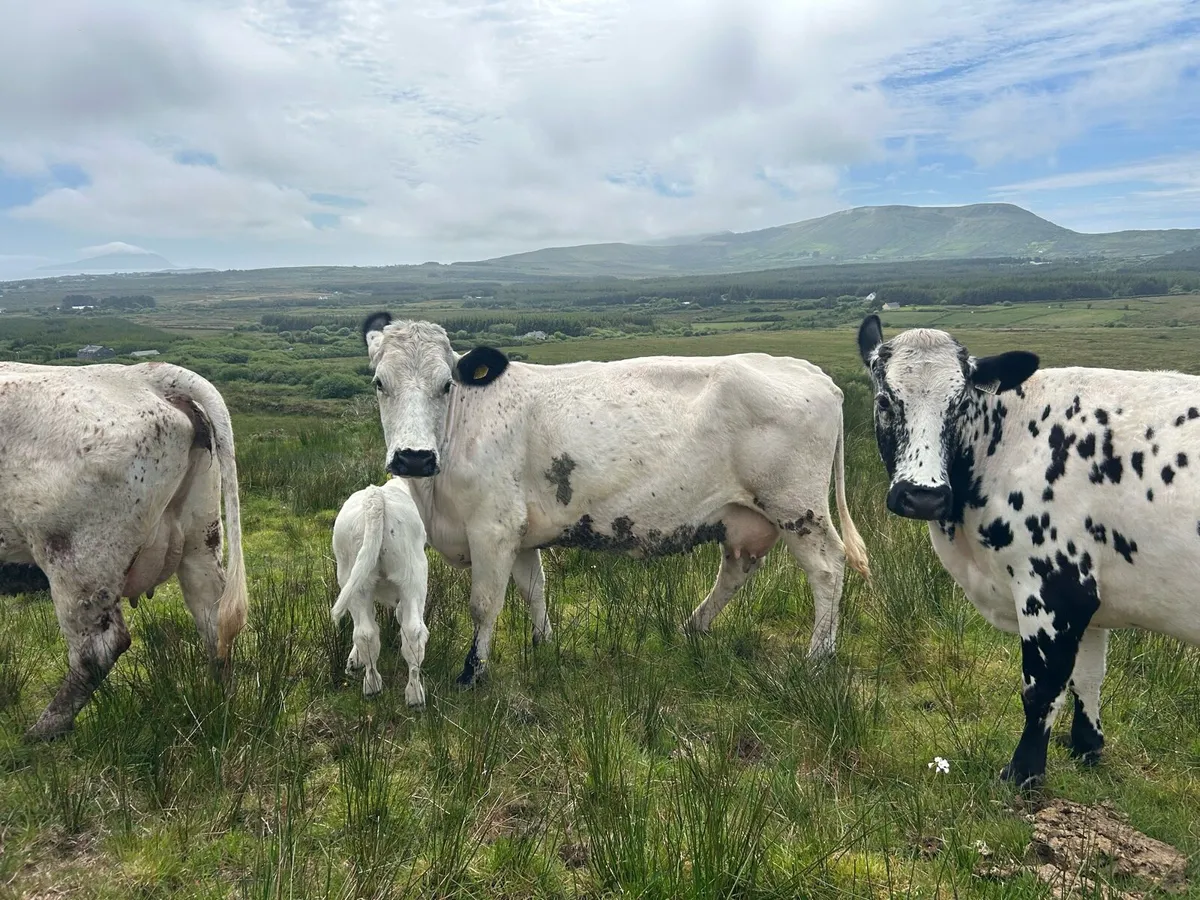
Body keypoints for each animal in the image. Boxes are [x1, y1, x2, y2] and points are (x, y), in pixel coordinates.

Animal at [0, 361, 248, 741]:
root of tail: (142, 374)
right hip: (201, 539)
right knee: (213, 619)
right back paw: (220, 703)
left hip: (77, 555)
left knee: (98, 648)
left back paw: (44, 729)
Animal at [331, 477, 430, 705]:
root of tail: (375, 498)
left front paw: (354, 660)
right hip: (414, 576)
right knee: (413, 632)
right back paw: (415, 696)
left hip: (354, 579)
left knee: (365, 632)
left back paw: (372, 686)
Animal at [362, 314, 870, 687]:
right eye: (379, 383)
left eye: (446, 384)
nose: (413, 457)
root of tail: (809, 370)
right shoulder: (521, 533)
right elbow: (534, 589)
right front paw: (544, 644)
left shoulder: (492, 527)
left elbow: (484, 604)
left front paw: (472, 673)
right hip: (746, 516)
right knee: (737, 570)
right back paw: (693, 627)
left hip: (798, 509)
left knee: (827, 569)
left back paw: (818, 656)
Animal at [857, 313, 1200, 788]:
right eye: (886, 401)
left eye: (960, 404)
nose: (922, 496)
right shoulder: (1093, 600)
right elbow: (1088, 677)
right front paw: (1087, 746)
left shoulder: (1056, 588)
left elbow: (1042, 688)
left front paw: (1023, 773)